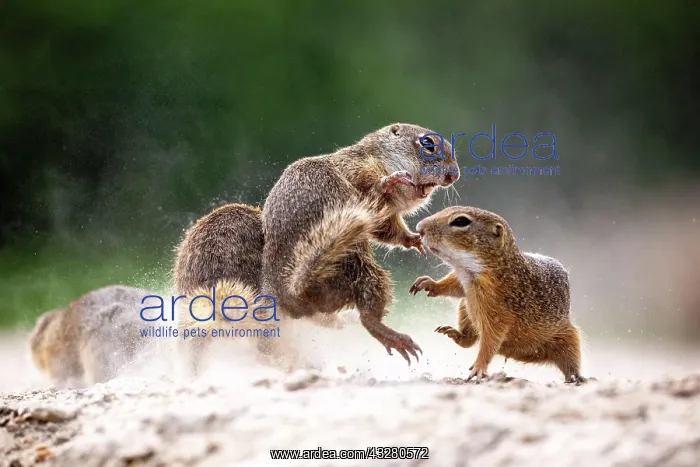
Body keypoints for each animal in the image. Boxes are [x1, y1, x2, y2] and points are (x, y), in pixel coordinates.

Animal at [260, 123, 460, 365]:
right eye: (428, 144)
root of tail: (293, 293)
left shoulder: (384, 214)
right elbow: (372, 188)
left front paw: (414, 239)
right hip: (364, 270)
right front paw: (388, 182)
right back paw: (396, 339)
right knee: (367, 317)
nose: (454, 175)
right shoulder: (357, 169)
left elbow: (386, 229)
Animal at [408, 206, 585, 383]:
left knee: (570, 362)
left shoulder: (497, 313)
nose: (419, 228)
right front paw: (429, 283)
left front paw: (479, 367)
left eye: (460, 221)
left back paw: (575, 377)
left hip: (569, 339)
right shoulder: (463, 282)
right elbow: (454, 286)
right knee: (469, 340)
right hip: (465, 307)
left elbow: (490, 342)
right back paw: (453, 332)